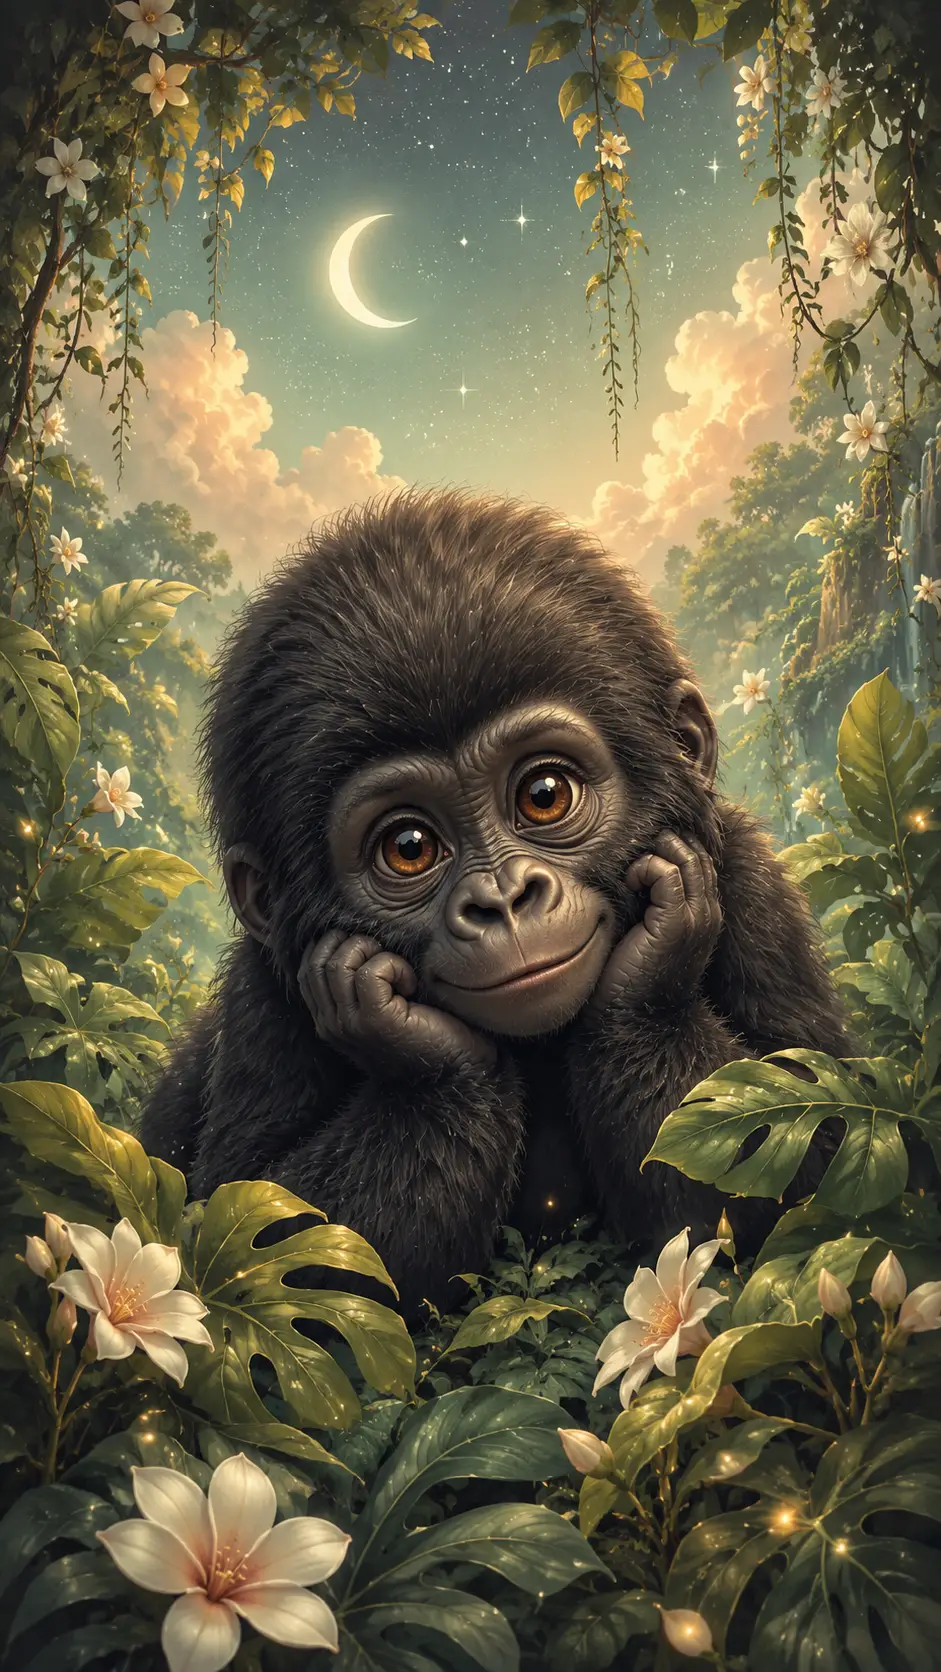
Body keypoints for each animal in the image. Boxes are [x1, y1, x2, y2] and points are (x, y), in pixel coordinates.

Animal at [141, 487, 851, 1318]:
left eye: (543, 795)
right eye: (408, 846)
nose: (503, 901)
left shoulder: (750, 881)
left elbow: (814, 1154)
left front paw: (651, 972)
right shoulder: (264, 995)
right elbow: (253, 1236)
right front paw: (426, 1063)